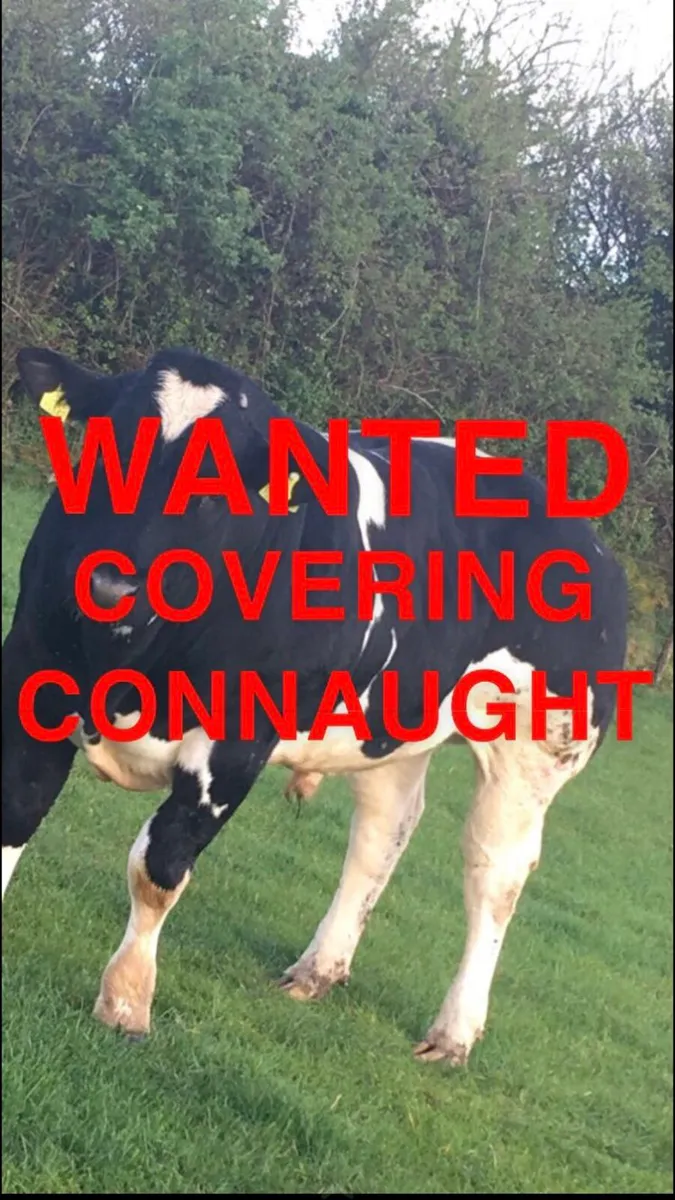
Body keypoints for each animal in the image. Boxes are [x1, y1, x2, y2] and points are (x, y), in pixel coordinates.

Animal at [2, 345, 628, 1066]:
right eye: (104, 448)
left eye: (216, 484)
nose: (109, 583)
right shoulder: (29, 679)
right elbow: (16, 813)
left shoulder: (232, 748)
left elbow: (159, 867)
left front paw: (127, 1001)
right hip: (388, 721)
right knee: (383, 831)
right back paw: (318, 969)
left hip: (536, 749)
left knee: (494, 873)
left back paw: (453, 1032)